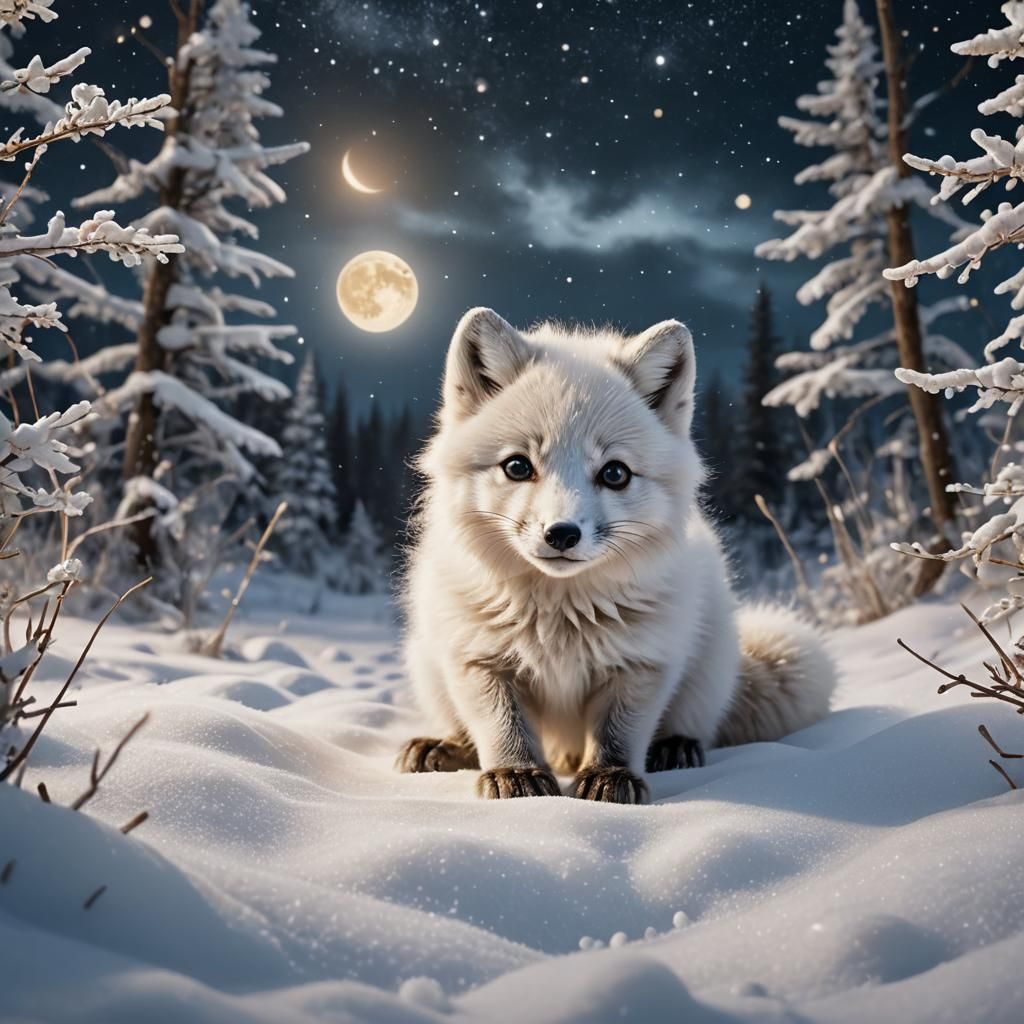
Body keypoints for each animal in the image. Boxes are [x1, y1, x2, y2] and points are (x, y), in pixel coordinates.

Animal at [396, 307, 836, 803]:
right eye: (517, 466)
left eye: (615, 473)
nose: (561, 534)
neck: (558, 617)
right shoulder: (478, 659)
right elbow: (502, 726)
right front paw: (517, 775)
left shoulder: (642, 662)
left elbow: (619, 733)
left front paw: (610, 779)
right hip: (427, 662)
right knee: (461, 729)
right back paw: (443, 747)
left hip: (709, 663)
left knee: (692, 723)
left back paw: (675, 747)